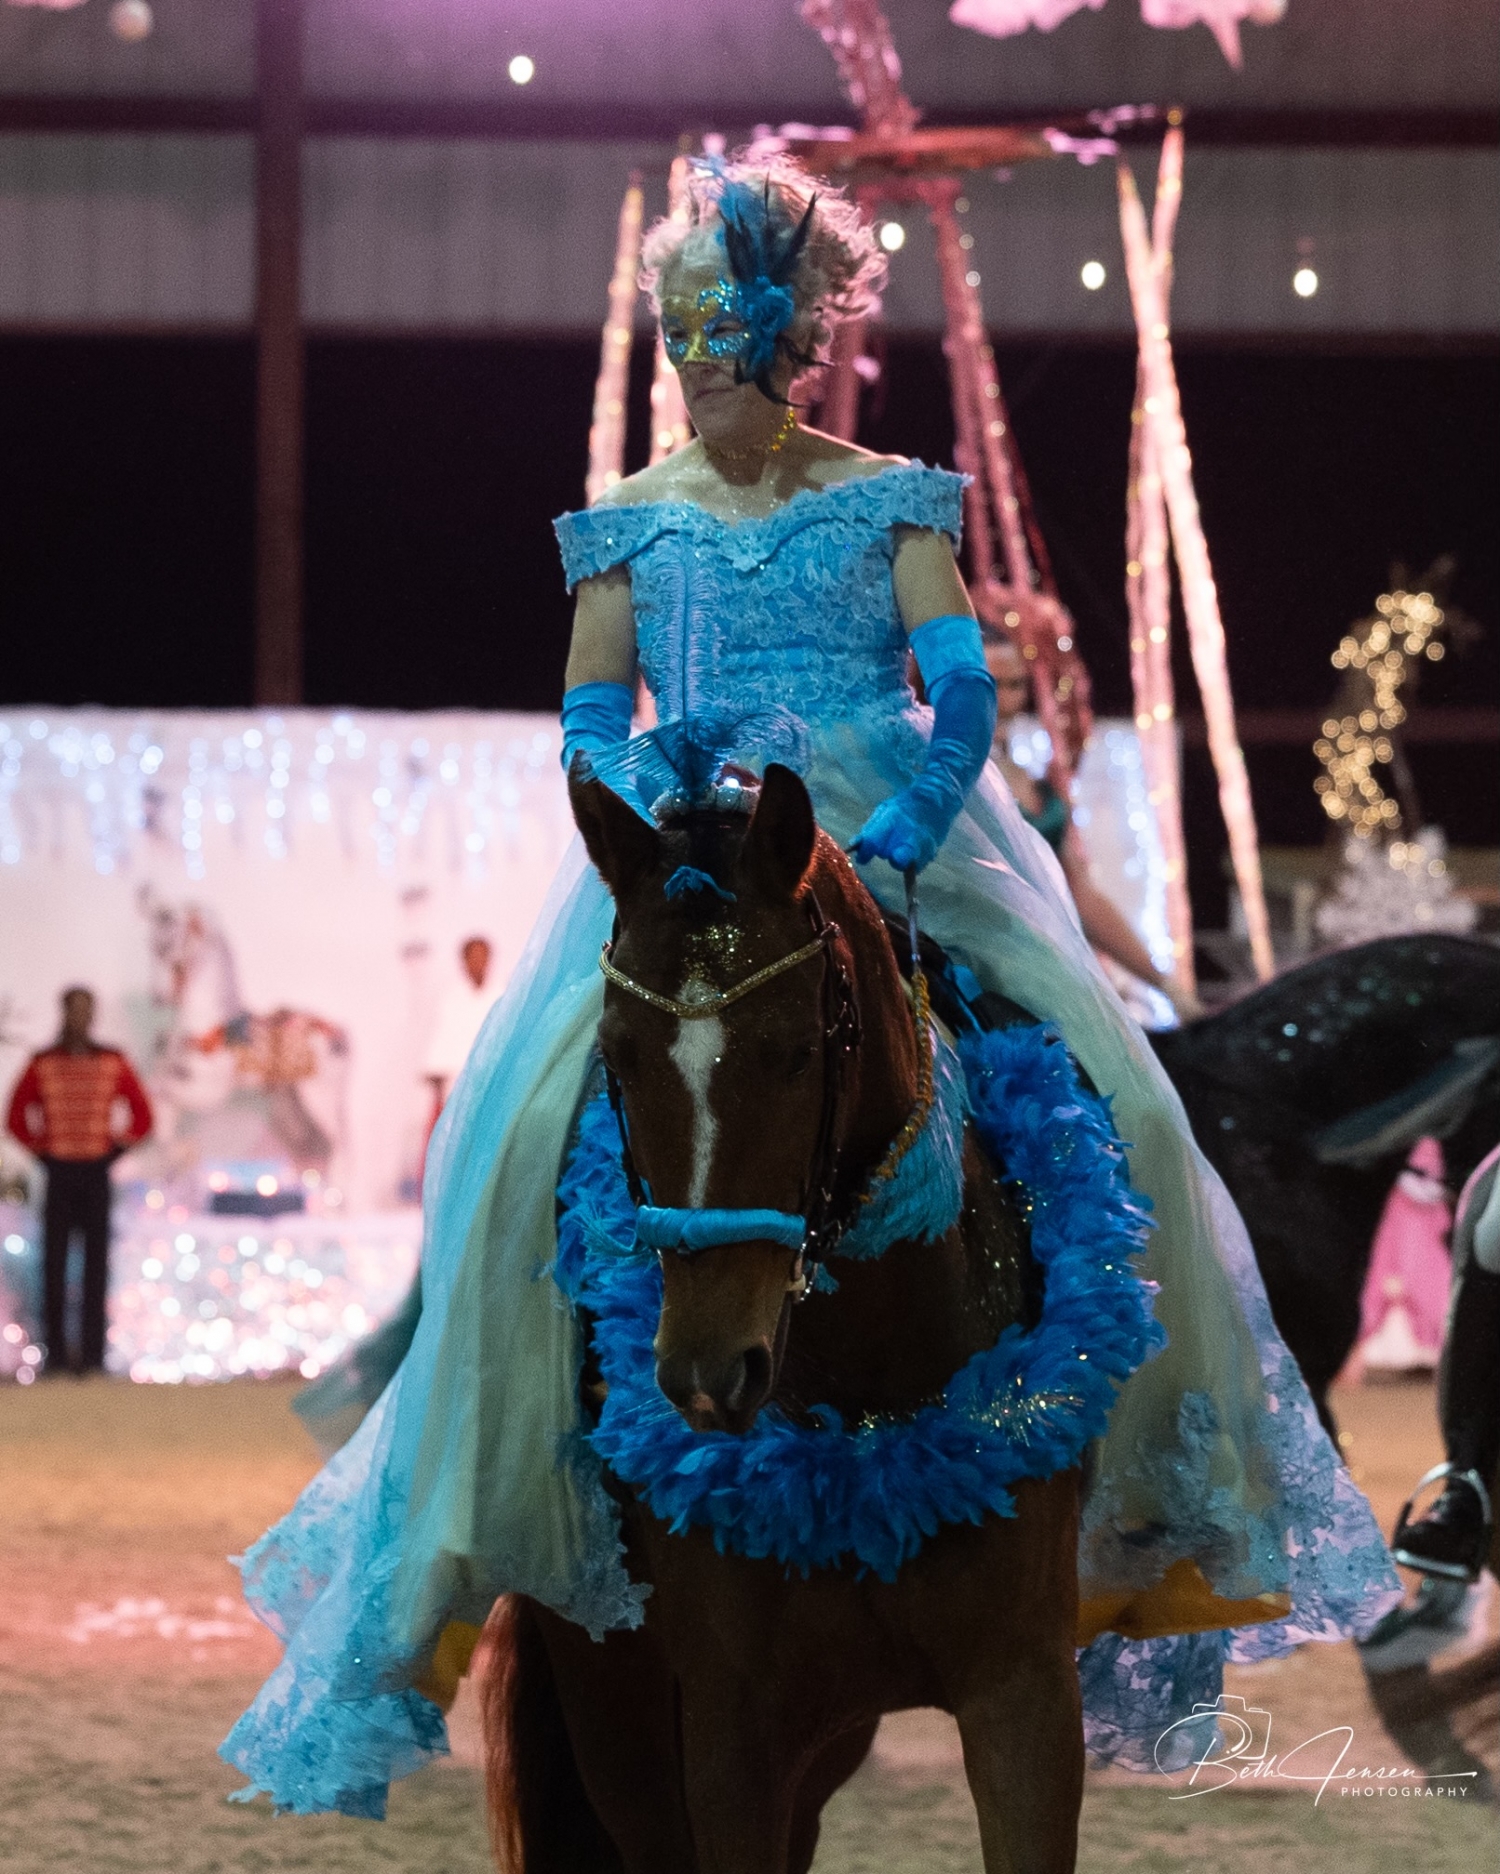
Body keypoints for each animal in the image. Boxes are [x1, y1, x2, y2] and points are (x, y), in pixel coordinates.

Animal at [480, 764, 1088, 1874]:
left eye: (800, 1049)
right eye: (618, 1056)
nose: (707, 1374)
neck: (872, 1391)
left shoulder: (1025, 1697)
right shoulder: (731, 1731)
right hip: (617, 1706)